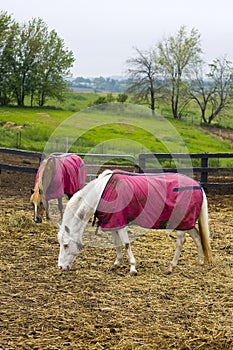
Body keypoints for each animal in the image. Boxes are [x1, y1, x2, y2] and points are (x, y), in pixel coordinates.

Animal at [57, 171, 212, 274]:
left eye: (65, 245)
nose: (60, 267)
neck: (102, 193)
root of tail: (198, 186)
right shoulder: (113, 224)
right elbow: (117, 244)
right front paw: (116, 263)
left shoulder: (121, 224)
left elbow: (126, 244)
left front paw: (132, 267)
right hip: (187, 223)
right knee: (198, 238)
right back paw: (200, 264)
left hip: (181, 224)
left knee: (180, 242)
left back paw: (170, 267)